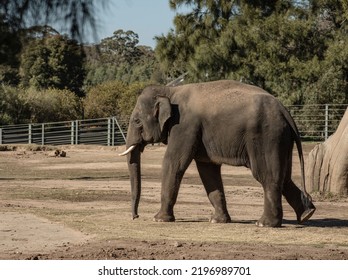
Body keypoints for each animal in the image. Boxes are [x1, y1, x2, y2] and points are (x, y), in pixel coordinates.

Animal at [119, 79, 316, 228]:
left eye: (136, 121)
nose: (135, 216)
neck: (170, 91)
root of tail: (285, 111)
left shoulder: (184, 126)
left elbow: (173, 163)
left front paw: (158, 219)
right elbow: (208, 170)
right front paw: (217, 221)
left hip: (266, 136)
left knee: (266, 175)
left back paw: (264, 224)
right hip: (282, 139)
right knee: (284, 177)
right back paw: (307, 214)